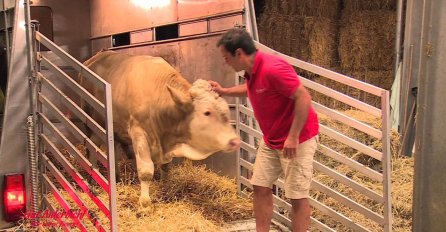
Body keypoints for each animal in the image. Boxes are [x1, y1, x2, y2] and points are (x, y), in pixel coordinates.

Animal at [80, 50, 240, 207]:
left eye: (226, 109)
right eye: (207, 112)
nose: (235, 141)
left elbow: (165, 167)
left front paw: (166, 187)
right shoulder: (139, 132)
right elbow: (146, 170)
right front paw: (145, 202)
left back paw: (117, 178)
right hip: (93, 123)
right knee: (90, 148)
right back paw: (93, 180)